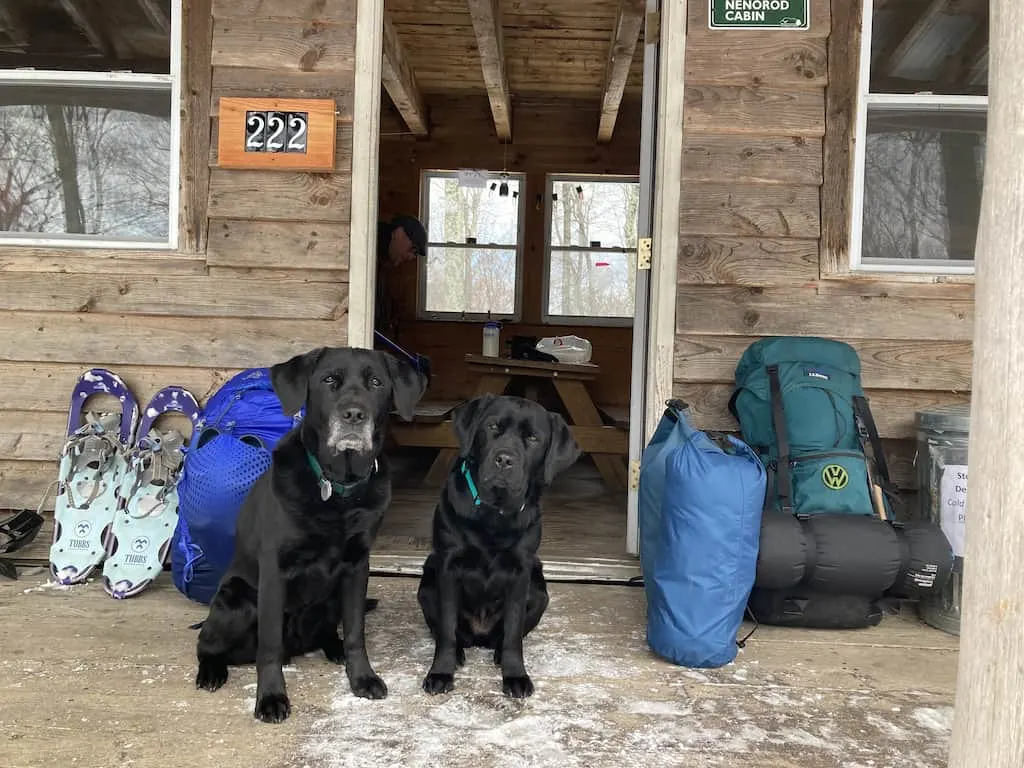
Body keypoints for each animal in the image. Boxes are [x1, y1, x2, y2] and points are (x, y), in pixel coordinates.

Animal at [193, 346, 425, 724]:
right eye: (329, 380)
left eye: (376, 382)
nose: (354, 414)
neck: (337, 488)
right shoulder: (275, 572)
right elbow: (269, 646)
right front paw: (271, 698)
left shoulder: (357, 567)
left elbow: (356, 632)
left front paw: (362, 677)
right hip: (235, 600)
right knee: (207, 645)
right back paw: (212, 672)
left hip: (328, 600)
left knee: (330, 632)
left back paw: (334, 649)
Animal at [413, 393, 577, 700]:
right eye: (492, 427)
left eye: (533, 438)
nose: (504, 459)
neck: (493, 516)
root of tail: (481, 634)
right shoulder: (447, 567)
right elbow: (447, 630)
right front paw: (441, 671)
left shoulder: (521, 572)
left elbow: (513, 632)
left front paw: (515, 676)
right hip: (427, 583)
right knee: (448, 631)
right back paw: (460, 653)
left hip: (540, 590)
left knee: (508, 635)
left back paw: (499, 652)